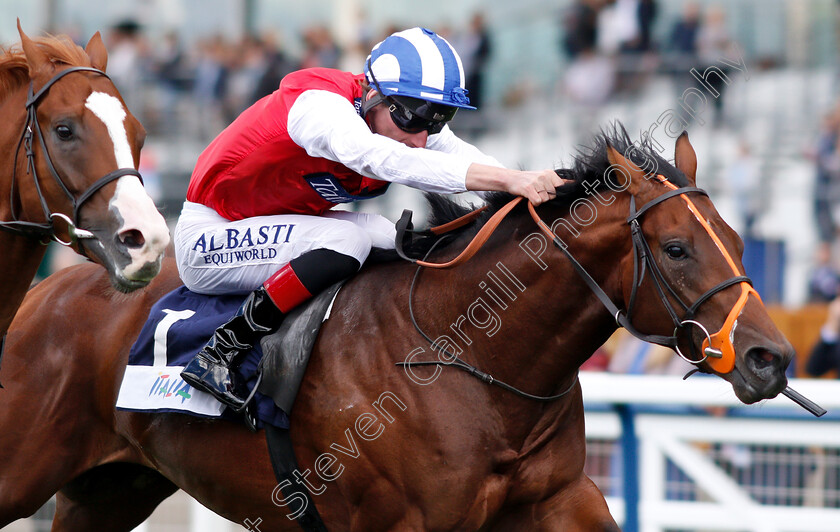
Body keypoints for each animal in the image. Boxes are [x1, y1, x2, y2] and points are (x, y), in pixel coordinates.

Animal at [0, 128, 796, 528]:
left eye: (738, 238)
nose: (771, 357)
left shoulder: (560, 501)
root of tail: (44, 295)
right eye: (677, 248)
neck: (469, 356)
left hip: (111, 489)